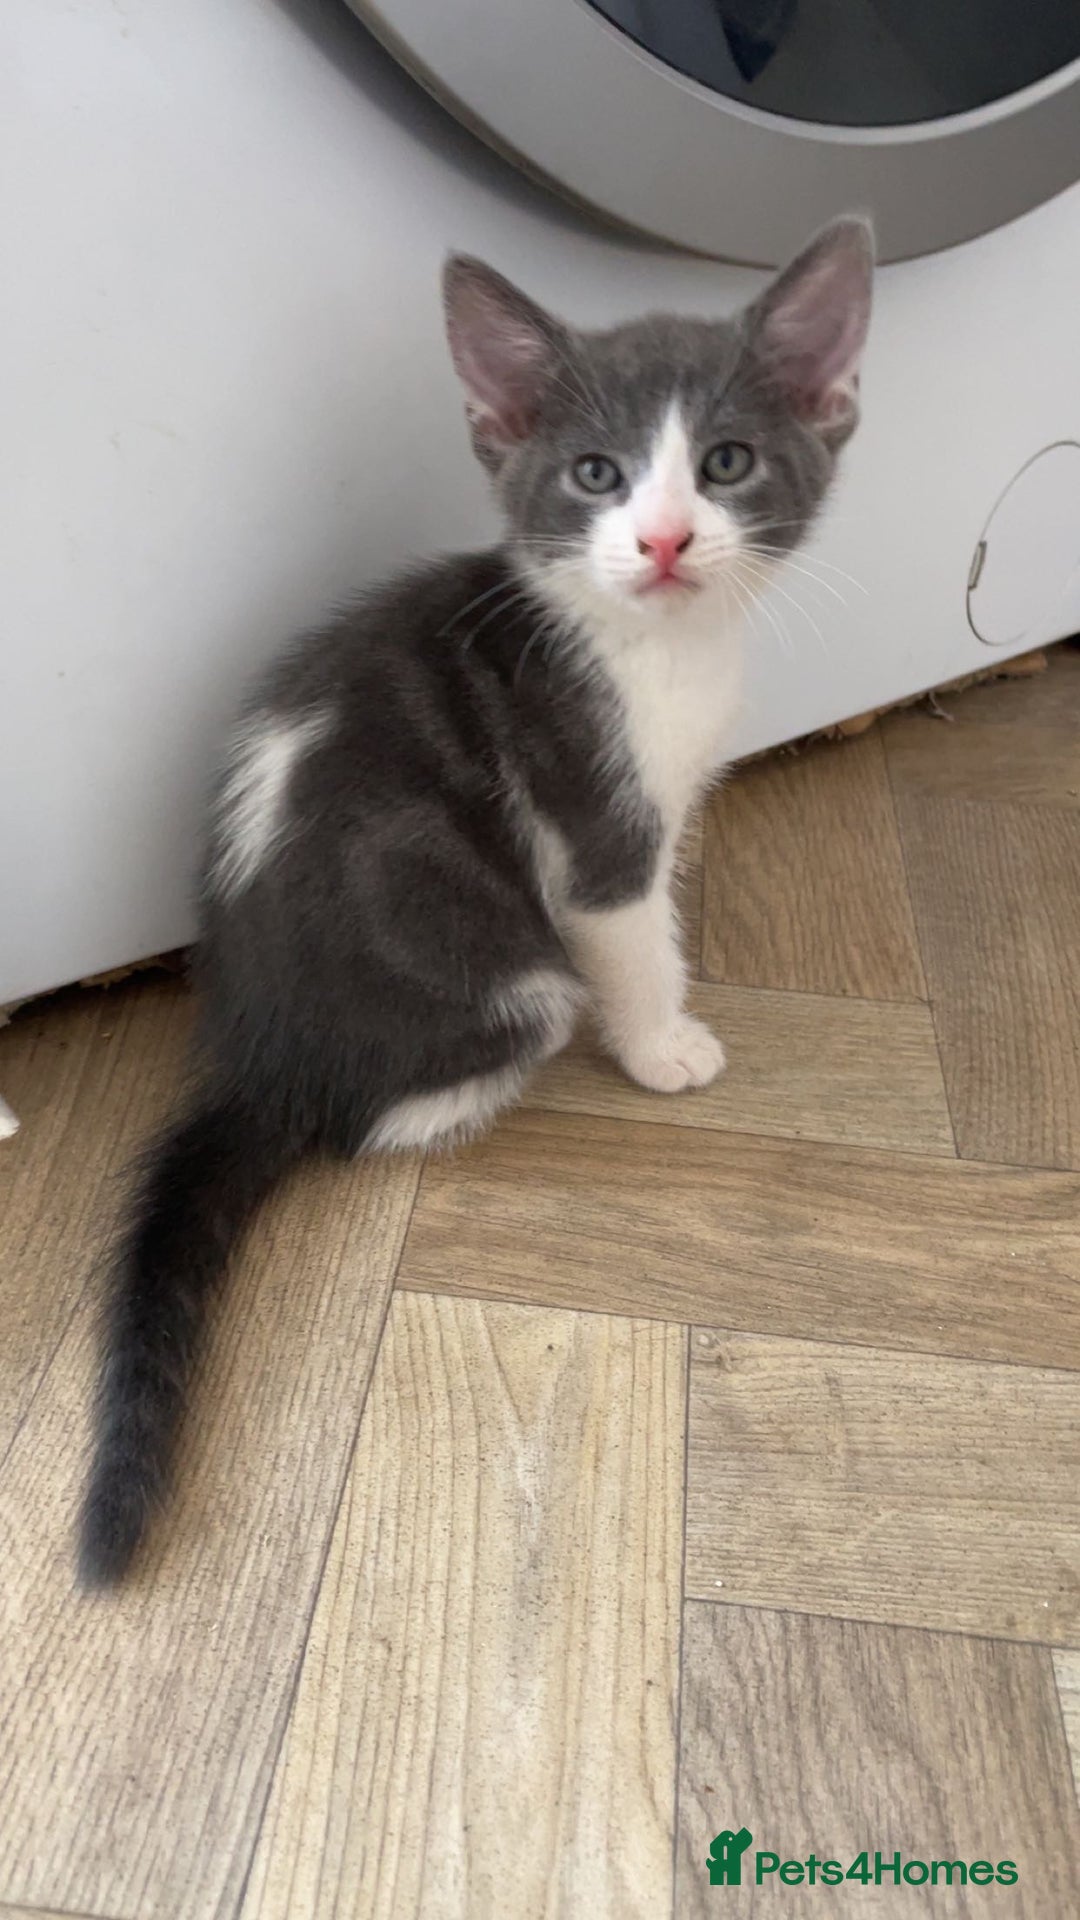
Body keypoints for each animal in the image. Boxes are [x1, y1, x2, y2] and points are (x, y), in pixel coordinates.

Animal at [79, 217, 873, 1584]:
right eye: (598, 476)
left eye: (726, 463)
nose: (666, 541)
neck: (646, 645)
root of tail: (258, 1049)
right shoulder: (593, 815)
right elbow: (632, 934)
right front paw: (664, 1044)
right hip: (491, 969)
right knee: (381, 1108)